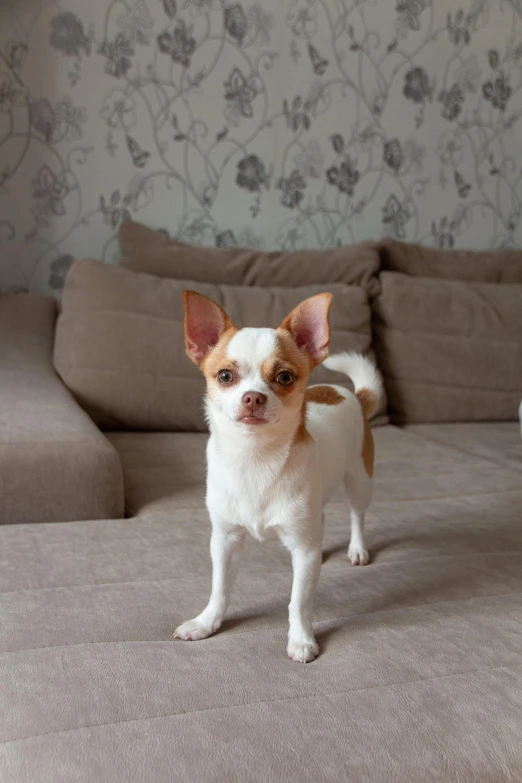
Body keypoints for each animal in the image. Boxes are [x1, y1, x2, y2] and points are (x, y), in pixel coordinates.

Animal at [174, 290, 382, 660]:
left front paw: (301, 639)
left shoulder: (302, 550)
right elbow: (219, 588)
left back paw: (357, 548)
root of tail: (352, 395)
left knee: (357, 514)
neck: (255, 457)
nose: (253, 398)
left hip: (360, 479)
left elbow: (299, 601)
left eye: (284, 378)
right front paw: (206, 622)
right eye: (224, 376)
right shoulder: (225, 540)